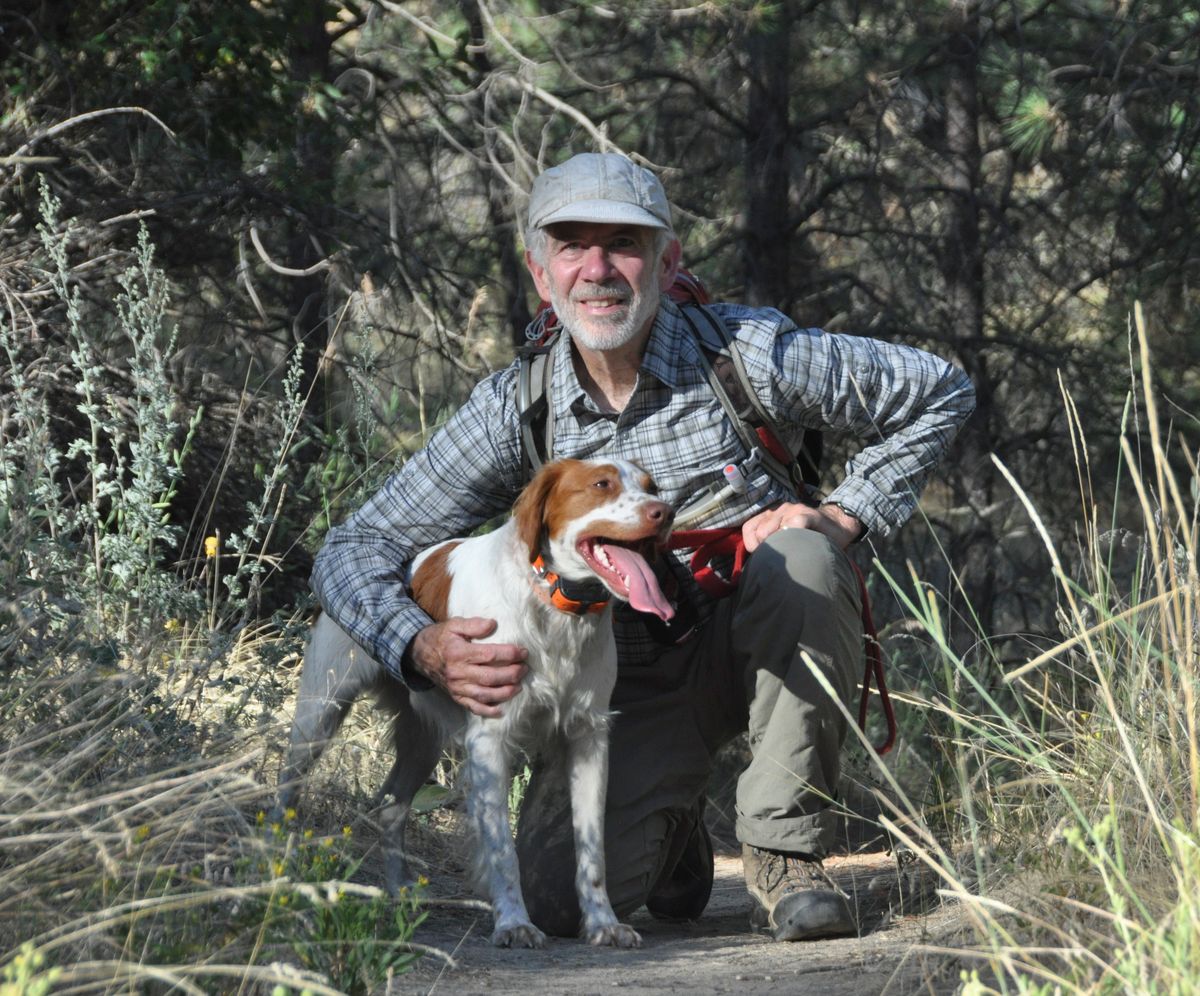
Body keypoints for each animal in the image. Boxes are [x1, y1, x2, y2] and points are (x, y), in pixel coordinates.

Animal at [276, 460, 681, 950]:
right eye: (601, 484)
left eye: (651, 487)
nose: (664, 512)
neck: (553, 606)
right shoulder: (490, 737)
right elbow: (503, 851)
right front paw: (513, 922)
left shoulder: (589, 736)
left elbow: (593, 851)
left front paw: (603, 923)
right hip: (319, 714)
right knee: (285, 787)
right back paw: (273, 867)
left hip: (422, 737)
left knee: (390, 805)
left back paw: (399, 890)